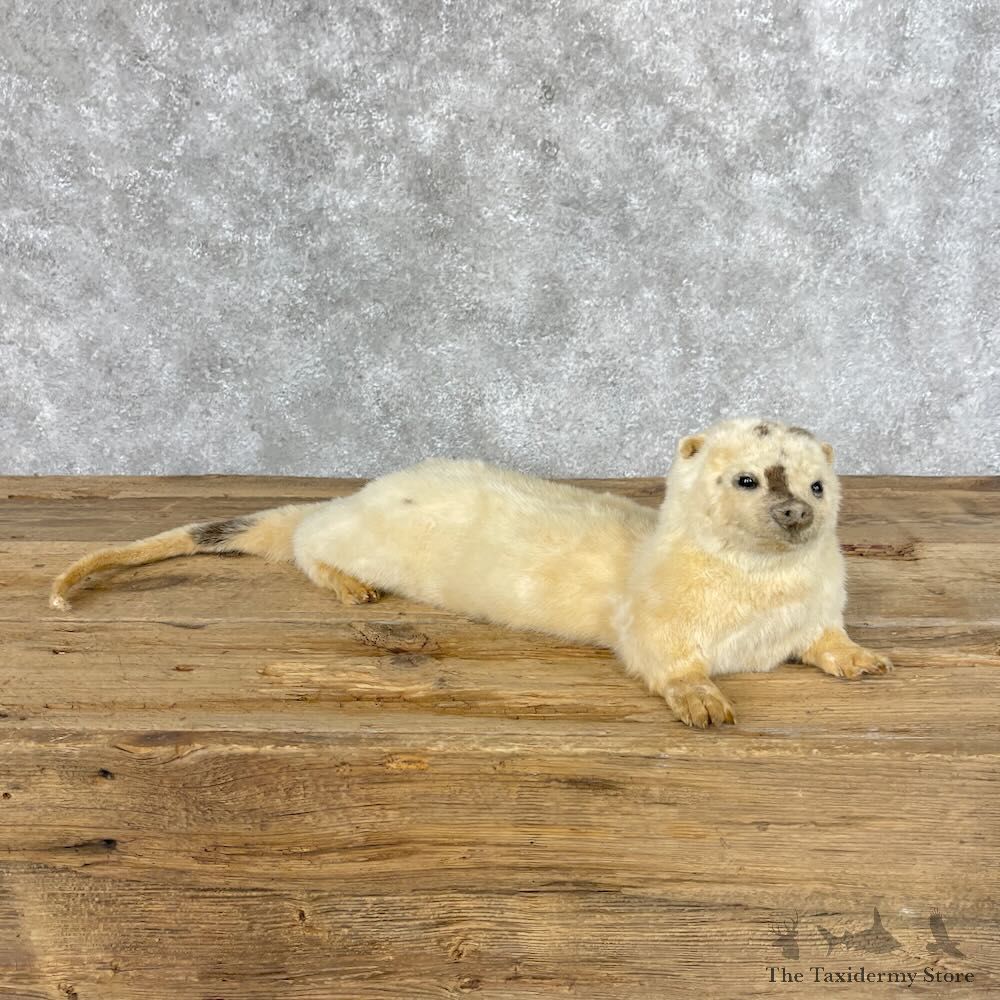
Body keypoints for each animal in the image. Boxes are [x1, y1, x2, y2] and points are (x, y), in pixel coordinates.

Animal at [50, 417, 892, 727]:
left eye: (817, 484)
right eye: (748, 479)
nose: (797, 512)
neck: (760, 611)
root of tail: (358, 495)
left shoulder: (816, 611)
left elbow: (830, 640)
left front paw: (865, 660)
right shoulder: (652, 619)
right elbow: (663, 662)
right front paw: (704, 700)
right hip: (357, 536)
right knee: (308, 542)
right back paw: (349, 583)